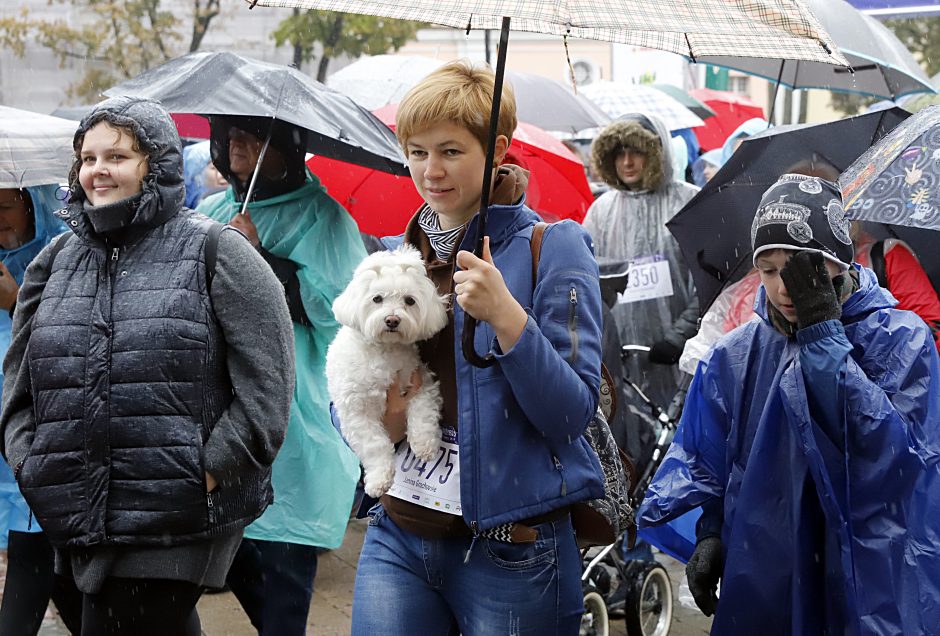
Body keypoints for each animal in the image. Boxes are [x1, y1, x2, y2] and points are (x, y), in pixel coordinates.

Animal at [326, 243, 452, 496]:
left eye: (410, 300)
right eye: (377, 298)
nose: (392, 320)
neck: (384, 350)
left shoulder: (420, 381)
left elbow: (423, 411)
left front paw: (424, 444)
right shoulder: (356, 411)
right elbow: (374, 444)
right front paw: (378, 479)